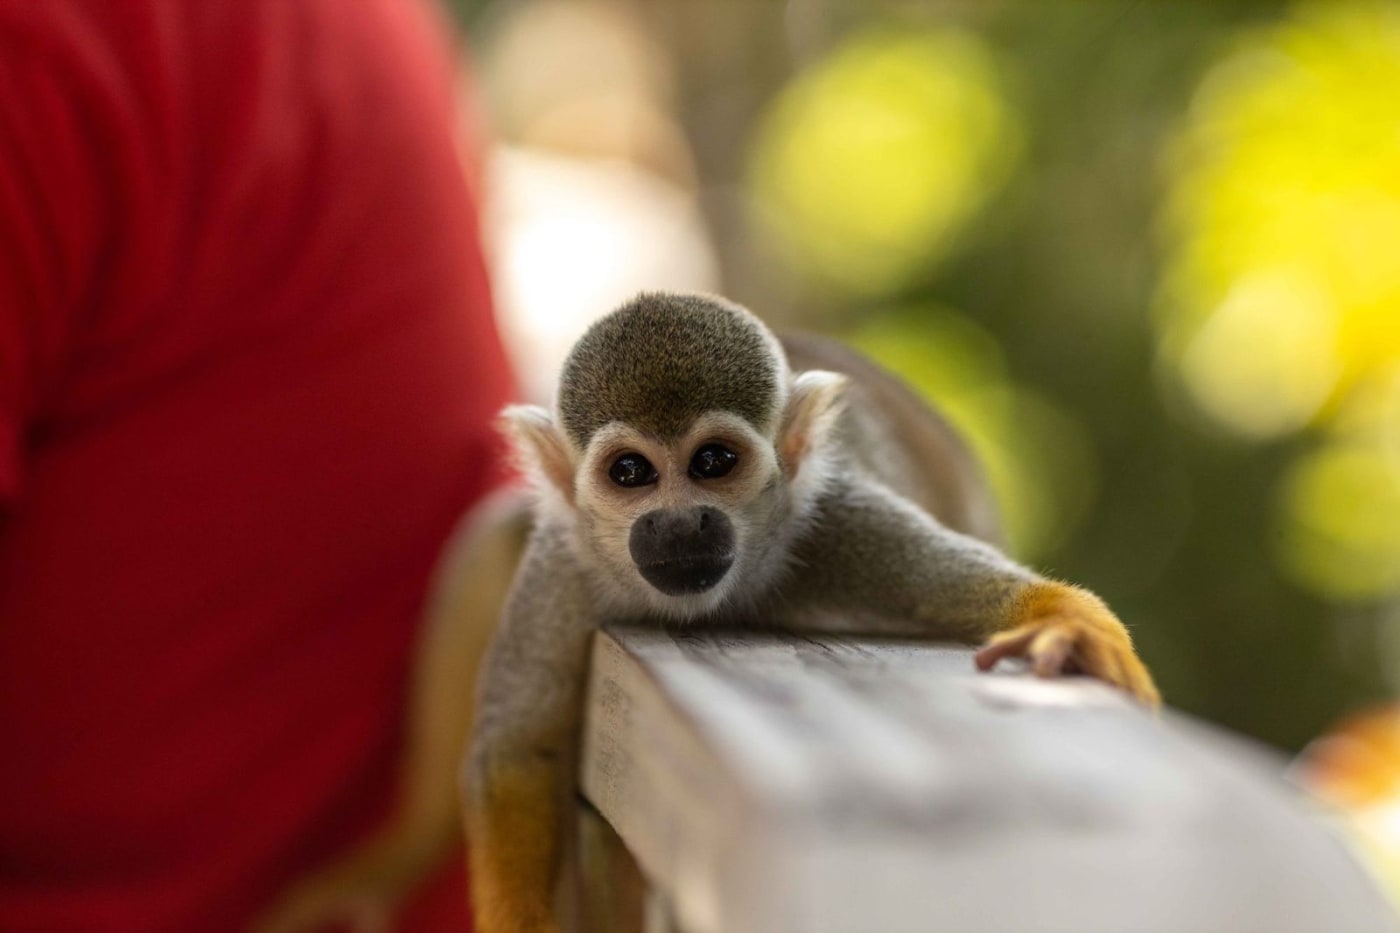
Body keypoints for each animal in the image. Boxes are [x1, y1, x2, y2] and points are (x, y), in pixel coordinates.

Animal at [465, 291, 1159, 933]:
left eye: (712, 462)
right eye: (631, 472)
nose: (680, 523)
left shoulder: (831, 520)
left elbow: (959, 586)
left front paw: (1066, 621)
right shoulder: (566, 566)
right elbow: (516, 752)